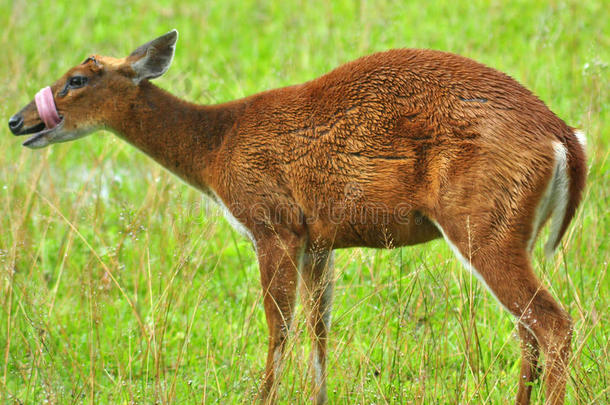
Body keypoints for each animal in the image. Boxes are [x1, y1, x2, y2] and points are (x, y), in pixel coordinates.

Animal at [5, 30, 584, 402]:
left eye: (77, 79)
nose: (17, 120)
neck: (217, 147)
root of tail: (565, 139)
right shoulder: (319, 239)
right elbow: (318, 326)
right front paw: (318, 395)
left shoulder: (272, 223)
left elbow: (278, 325)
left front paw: (262, 397)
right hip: (507, 230)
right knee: (529, 328)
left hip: (482, 222)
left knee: (551, 322)